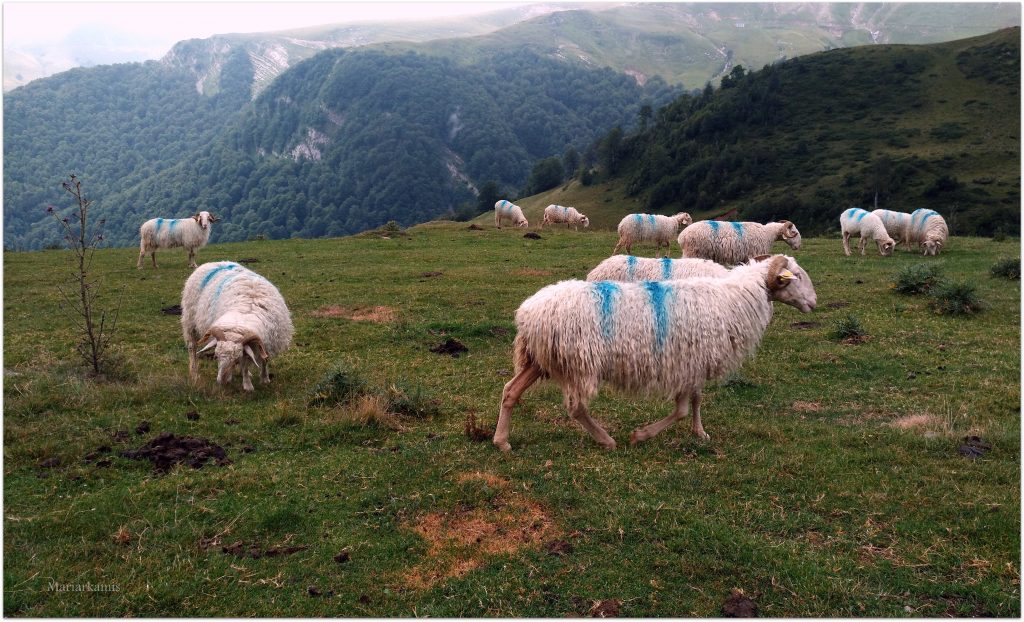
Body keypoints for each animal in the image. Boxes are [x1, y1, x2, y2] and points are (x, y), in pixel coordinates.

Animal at [179, 260, 292, 391]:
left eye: (236, 359)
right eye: (216, 356)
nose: (222, 382)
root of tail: (213, 262)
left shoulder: (267, 342)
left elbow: (263, 360)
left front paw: (264, 379)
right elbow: (245, 365)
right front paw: (248, 385)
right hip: (190, 321)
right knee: (192, 348)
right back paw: (194, 373)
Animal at [491, 254, 819, 452]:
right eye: (797, 276)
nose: (814, 303)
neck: (733, 299)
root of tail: (527, 314)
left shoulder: (693, 362)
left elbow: (695, 402)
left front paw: (700, 433)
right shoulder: (688, 363)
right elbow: (682, 409)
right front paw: (641, 435)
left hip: (541, 360)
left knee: (510, 391)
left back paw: (501, 441)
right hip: (578, 363)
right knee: (576, 408)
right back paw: (606, 439)